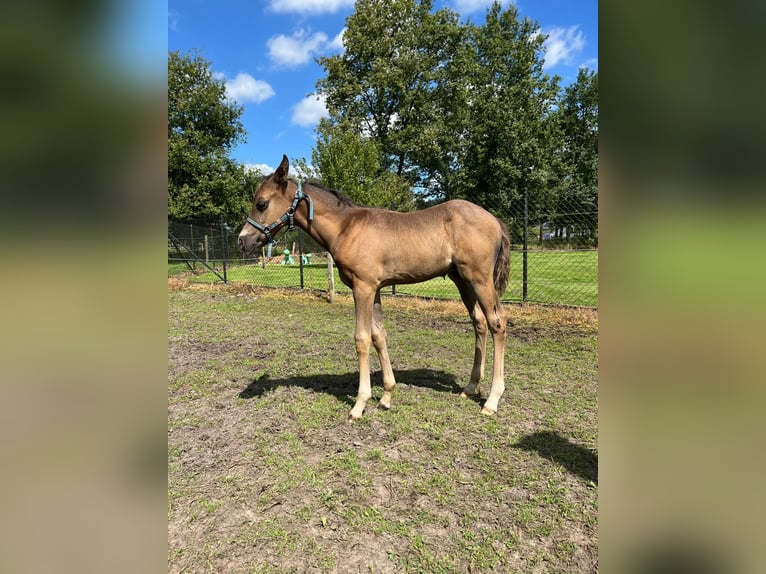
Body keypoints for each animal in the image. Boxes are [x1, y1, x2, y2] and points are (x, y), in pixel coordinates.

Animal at [240, 155, 510, 420]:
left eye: (262, 204)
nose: (243, 241)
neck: (346, 228)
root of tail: (495, 220)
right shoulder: (377, 289)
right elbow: (379, 335)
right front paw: (386, 396)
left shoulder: (363, 287)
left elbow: (362, 338)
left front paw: (359, 404)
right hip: (462, 280)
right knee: (479, 322)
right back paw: (470, 387)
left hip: (479, 278)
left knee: (497, 322)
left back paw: (492, 400)